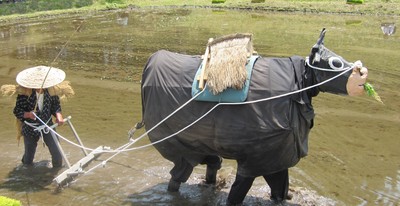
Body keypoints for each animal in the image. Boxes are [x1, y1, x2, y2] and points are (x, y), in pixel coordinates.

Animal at [138, 28, 368, 204]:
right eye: (335, 63)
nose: (363, 72)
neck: (300, 86)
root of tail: (150, 66)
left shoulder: (276, 158)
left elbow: (280, 189)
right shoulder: (258, 157)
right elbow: (240, 192)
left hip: (201, 143)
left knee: (211, 165)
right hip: (179, 144)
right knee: (177, 177)